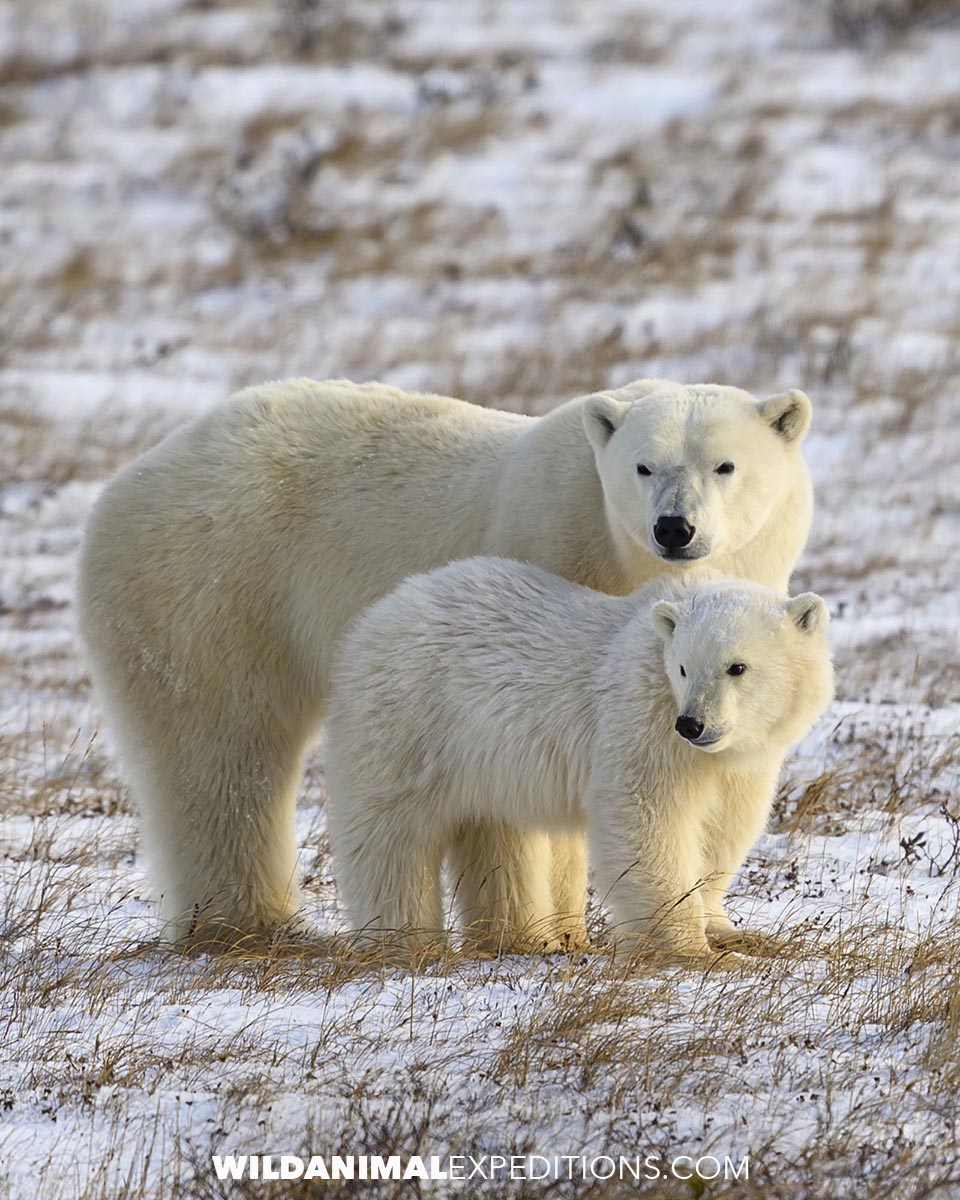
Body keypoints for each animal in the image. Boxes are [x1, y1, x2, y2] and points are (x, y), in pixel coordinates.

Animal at [324, 559, 834, 960]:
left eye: (737, 667)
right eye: (684, 667)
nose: (692, 724)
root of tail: (372, 620)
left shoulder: (739, 762)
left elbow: (721, 829)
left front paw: (729, 930)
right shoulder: (642, 719)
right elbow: (649, 819)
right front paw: (691, 948)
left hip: (483, 762)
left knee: (497, 839)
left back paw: (518, 936)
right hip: (409, 720)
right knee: (391, 836)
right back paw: (406, 942)